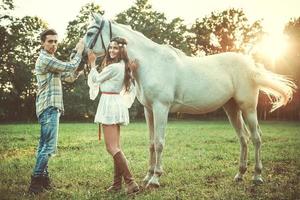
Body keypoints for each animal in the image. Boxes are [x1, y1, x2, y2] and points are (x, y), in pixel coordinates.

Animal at [81, 14, 296, 188]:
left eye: (91, 32)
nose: (83, 56)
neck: (151, 63)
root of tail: (251, 65)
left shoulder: (161, 108)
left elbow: (159, 142)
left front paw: (155, 179)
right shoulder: (149, 110)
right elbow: (151, 143)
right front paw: (147, 176)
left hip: (248, 108)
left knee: (257, 138)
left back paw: (257, 177)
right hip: (232, 109)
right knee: (243, 138)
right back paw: (239, 175)